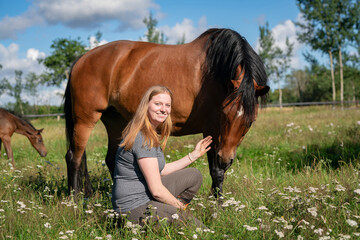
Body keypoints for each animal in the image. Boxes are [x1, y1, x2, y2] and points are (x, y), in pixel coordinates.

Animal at [64, 27, 268, 197]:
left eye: (249, 122)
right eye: (225, 115)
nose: (225, 159)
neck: (214, 71)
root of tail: (82, 59)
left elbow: (218, 171)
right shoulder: (212, 130)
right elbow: (216, 171)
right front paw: (216, 207)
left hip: (115, 121)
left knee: (110, 158)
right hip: (85, 120)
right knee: (74, 157)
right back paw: (75, 200)